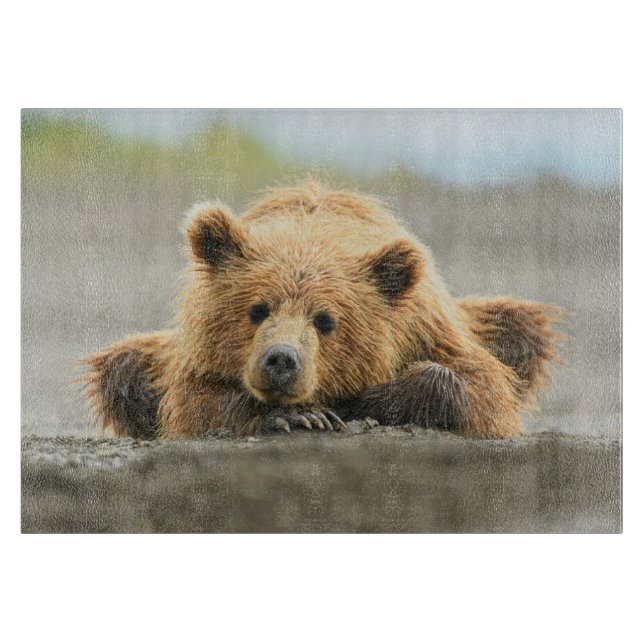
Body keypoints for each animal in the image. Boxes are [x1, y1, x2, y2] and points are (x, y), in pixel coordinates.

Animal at [83, 182, 562, 440]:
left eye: (326, 320)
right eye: (257, 309)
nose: (281, 359)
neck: (312, 234)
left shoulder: (427, 327)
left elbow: (483, 389)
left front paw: (365, 401)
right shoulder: (194, 356)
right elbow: (193, 405)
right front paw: (301, 415)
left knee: (523, 328)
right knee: (121, 367)